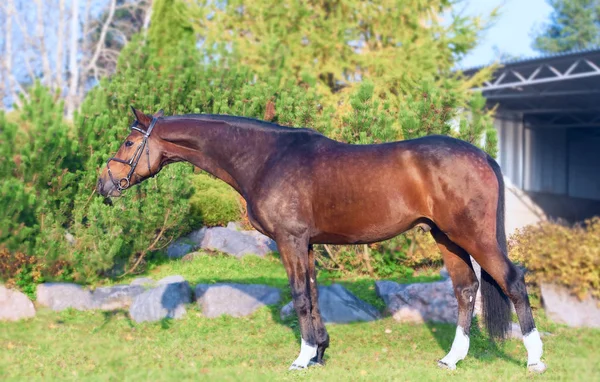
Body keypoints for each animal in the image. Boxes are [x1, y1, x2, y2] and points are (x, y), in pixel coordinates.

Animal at [96, 107, 548, 374]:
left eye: (129, 142)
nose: (103, 185)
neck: (265, 159)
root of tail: (482, 155)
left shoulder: (290, 239)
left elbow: (299, 294)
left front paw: (302, 357)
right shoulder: (307, 243)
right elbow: (312, 293)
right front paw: (319, 352)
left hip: (472, 235)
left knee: (513, 281)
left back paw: (534, 359)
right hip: (446, 238)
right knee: (466, 289)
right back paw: (452, 358)